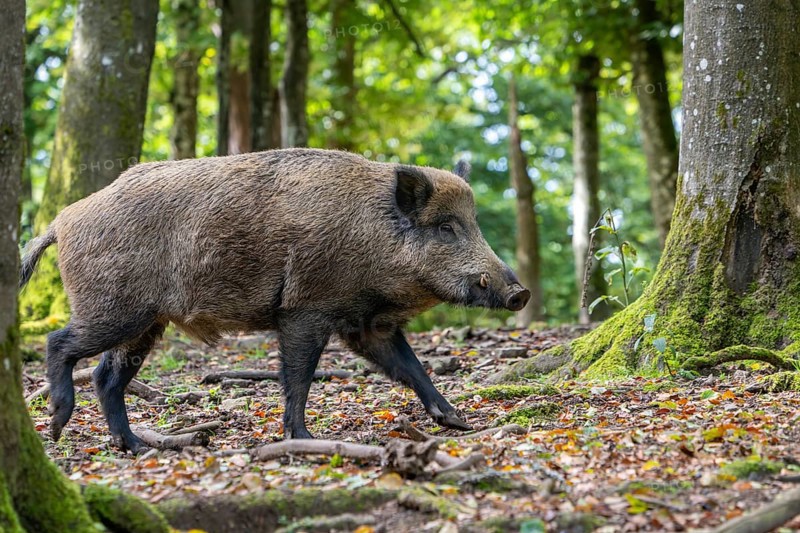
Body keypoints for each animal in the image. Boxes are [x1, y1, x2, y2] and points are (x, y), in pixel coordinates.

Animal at [20, 148, 530, 453]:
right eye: (445, 227)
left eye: (473, 222)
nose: (519, 292)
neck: (372, 240)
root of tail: (61, 221)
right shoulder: (305, 309)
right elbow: (298, 376)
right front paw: (303, 438)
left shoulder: (367, 324)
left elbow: (411, 367)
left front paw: (458, 422)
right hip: (116, 309)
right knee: (59, 343)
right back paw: (59, 425)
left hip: (145, 324)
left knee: (106, 377)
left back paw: (138, 446)